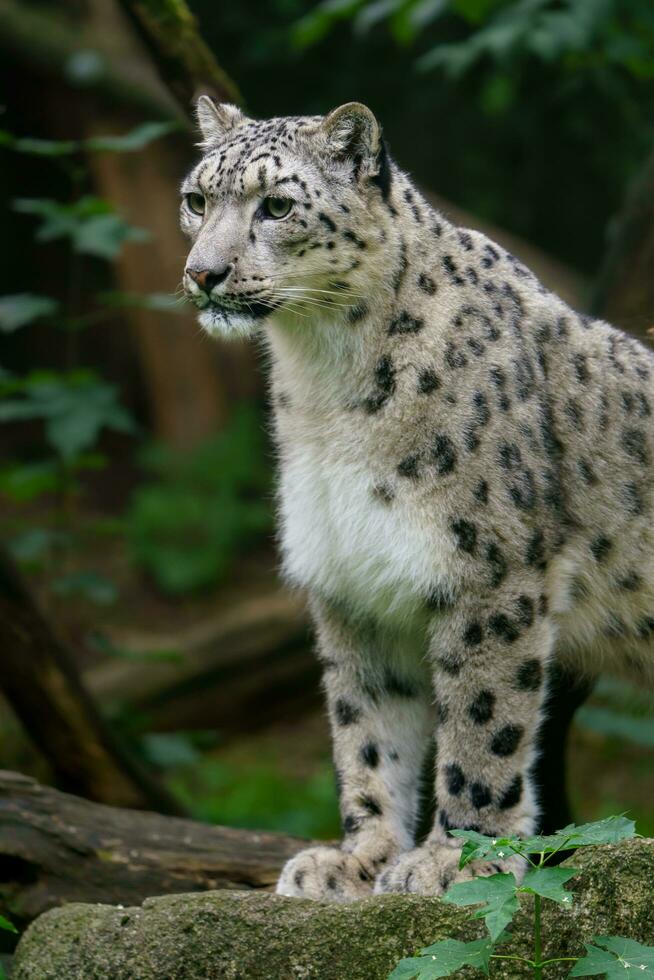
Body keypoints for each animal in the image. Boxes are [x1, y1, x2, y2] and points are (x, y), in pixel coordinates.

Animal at [179, 95, 654, 900]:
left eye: (277, 205)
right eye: (196, 199)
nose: (203, 273)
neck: (323, 381)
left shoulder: (489, 572)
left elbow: (482, 721)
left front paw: (453, 859)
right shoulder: (352, 577)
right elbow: (366, 730)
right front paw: (357, 858)